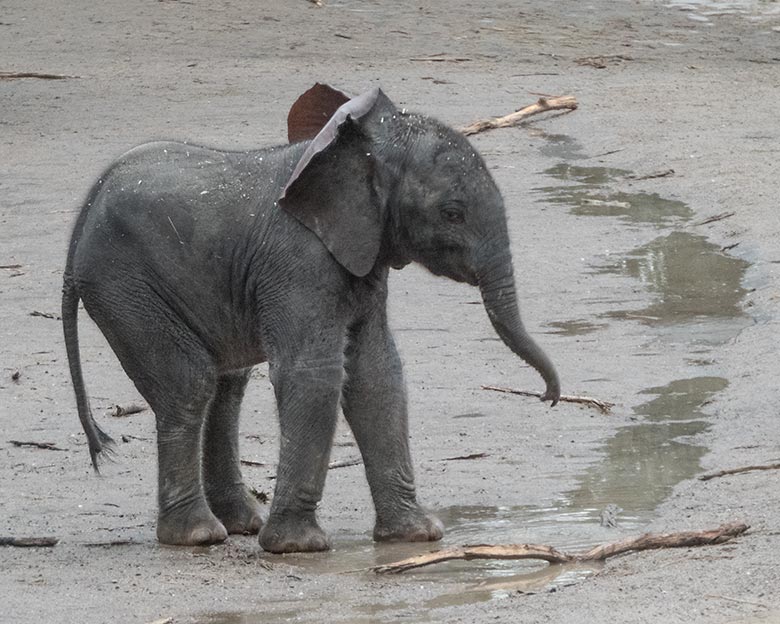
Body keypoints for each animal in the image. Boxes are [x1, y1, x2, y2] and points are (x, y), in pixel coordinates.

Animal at [62, 81, 560, 552]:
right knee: (190, 382)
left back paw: (239, 524)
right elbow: (314, 375)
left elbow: (377, 375)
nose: (549, 398)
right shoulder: (297, 263)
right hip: (125, 284)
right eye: (452, 214)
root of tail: (83, 215)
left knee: (227, 387)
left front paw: (417, 535)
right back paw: (198, 536)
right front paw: (299, 546)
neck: (354, 154)